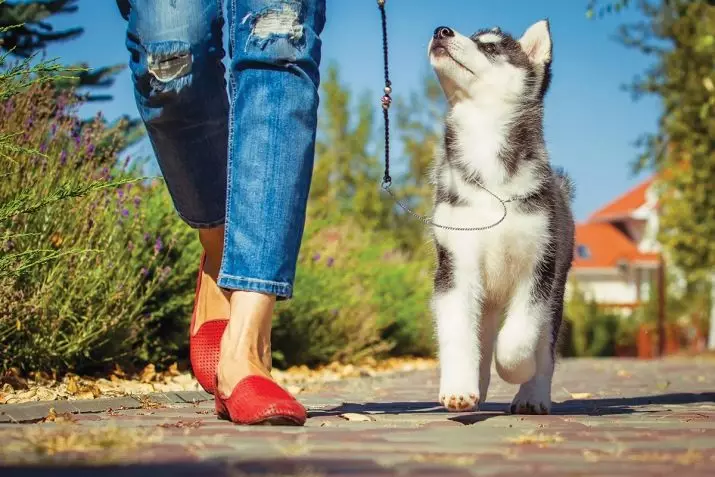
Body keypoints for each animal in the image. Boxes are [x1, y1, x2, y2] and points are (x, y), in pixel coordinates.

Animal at [426, 19, 576, 412]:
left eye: (491, 48)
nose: (441, 30)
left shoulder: (539, 267)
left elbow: (520, 337)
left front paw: (516, 370)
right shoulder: (455, 266)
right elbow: (458, 334)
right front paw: (458, 388)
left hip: (557, 291)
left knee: (544, 349)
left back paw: (532, 395)